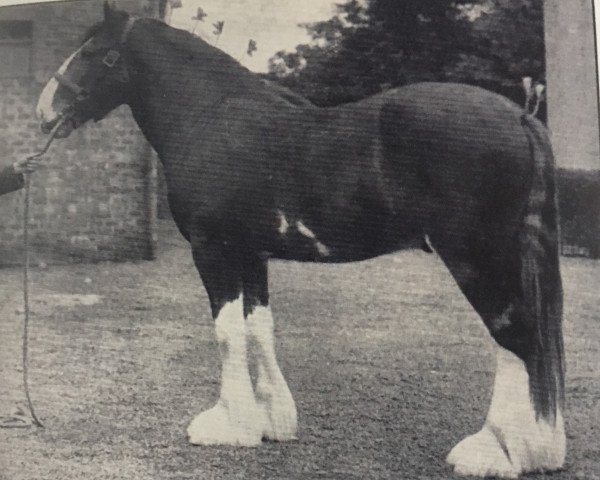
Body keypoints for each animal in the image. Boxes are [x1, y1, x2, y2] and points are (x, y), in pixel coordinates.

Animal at [35, 3, 564, 476]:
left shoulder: (213, 251)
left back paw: (497, 452)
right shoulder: (251, 255)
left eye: (90, 53)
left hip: (477, 258)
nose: (44, 112)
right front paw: (272, 420)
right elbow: (258, 328)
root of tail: (519, 117)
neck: (210, 117)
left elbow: (227, 332)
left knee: (514, 335)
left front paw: (229, 426)